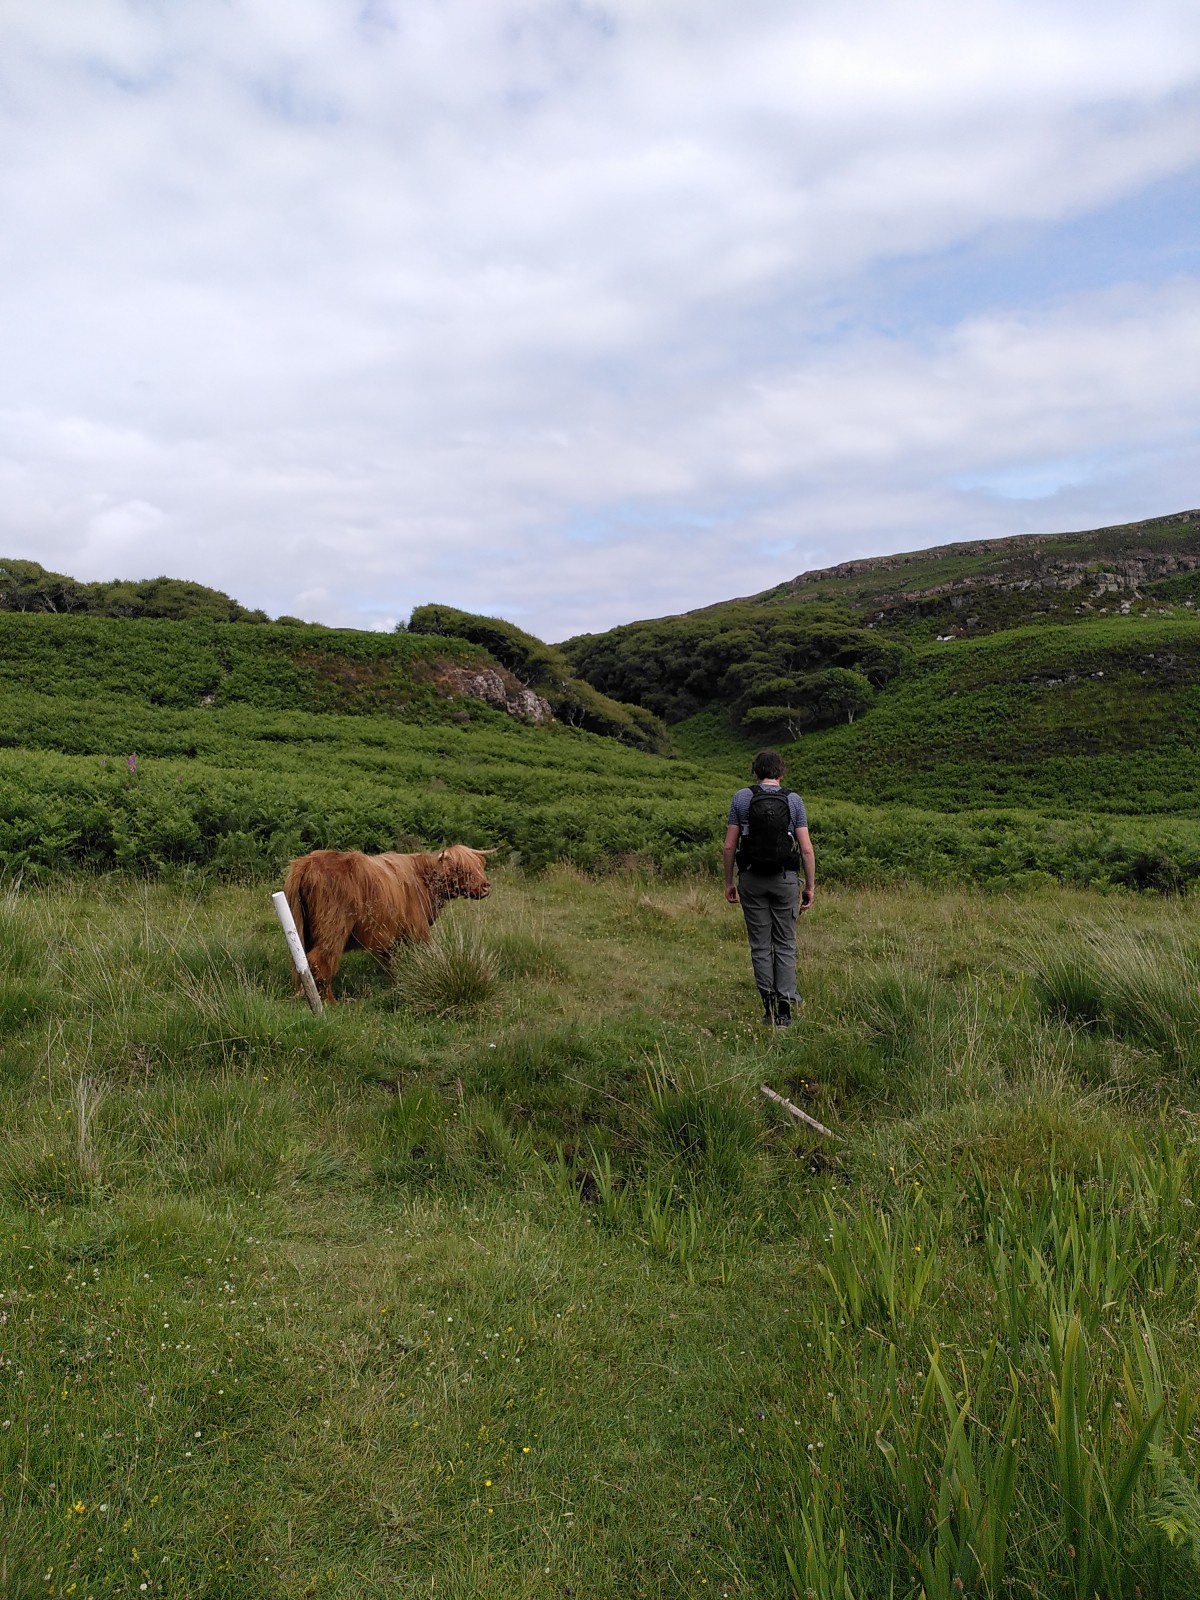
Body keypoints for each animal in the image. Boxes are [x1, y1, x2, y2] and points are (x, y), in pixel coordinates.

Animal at [283, 844, 493, 1002]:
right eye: (462, 869)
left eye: (480, 865)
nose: (485, 887)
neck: (425, 881)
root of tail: (308, 862)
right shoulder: (418, 929)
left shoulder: (390, 936)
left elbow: (391, 963)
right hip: (333, 928)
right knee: (321, 960)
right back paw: (331, 1002)